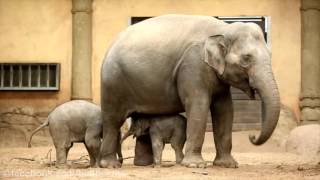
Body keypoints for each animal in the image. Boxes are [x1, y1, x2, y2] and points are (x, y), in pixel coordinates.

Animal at [100, 14, 280, 169]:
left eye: (271, 55)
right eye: (246, 58)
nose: (252, 136)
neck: (223, 28)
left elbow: (225, 109)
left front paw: (227, 165)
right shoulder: (193, 65)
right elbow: (199, 105)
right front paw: (195, 165)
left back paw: (143, 164)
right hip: (113, 83)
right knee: (113, 120)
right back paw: (110, 165)